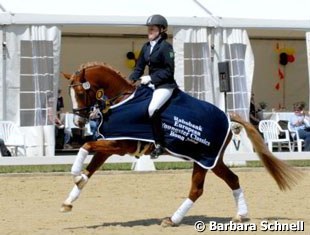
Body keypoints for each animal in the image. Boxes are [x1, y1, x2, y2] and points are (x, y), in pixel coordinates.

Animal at [60, 61, 300, 227]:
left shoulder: (120, 146)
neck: (121, 100)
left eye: (80, 92)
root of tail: (227, 116)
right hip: (212, 161)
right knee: (233, 179)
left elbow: (86, 147)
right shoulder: (109, 144)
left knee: (196, 190)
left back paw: (173, 219)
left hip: (203, 159)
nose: (79, 122)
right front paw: (70, 198)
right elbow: (90, 169)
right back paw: (241, 215)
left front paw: (75, 174)